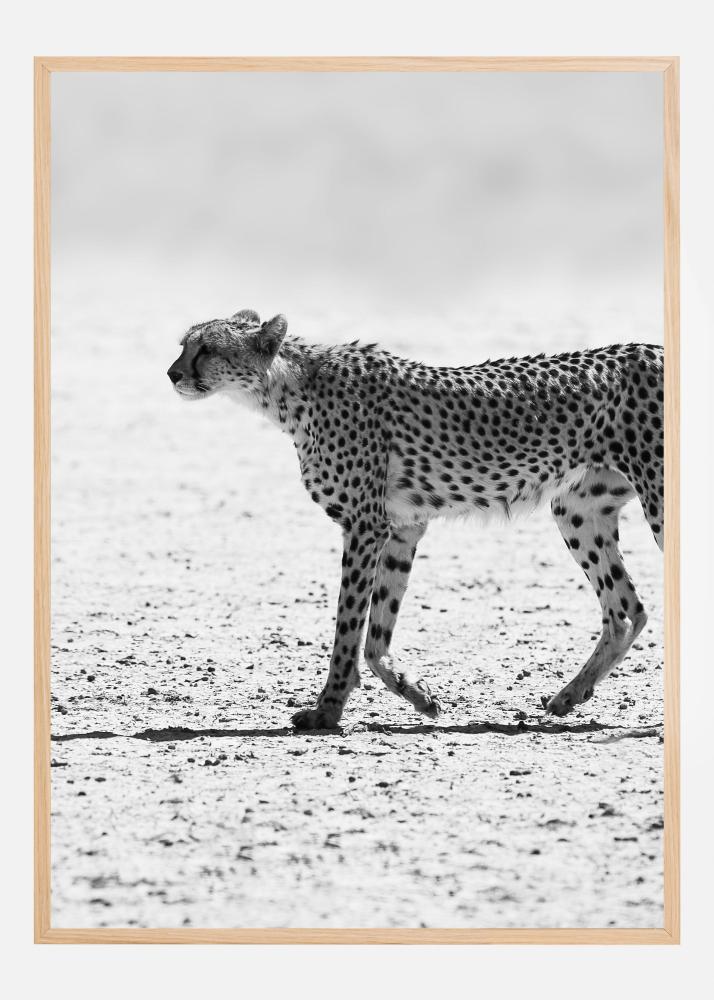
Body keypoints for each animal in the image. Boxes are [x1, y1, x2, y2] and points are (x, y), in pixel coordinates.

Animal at [167, 309, 664, 730]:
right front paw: (418, 694)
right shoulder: (402, 527)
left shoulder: (365, 525)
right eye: (184, 344)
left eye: (207, 348)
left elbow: (348, 626)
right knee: (626, 610)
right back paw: (569, 696)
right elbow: (376, 634)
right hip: (578, 510)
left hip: (656, 501)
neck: (288, 388)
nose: (172, 373)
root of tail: (652, 346)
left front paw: (327, 710)